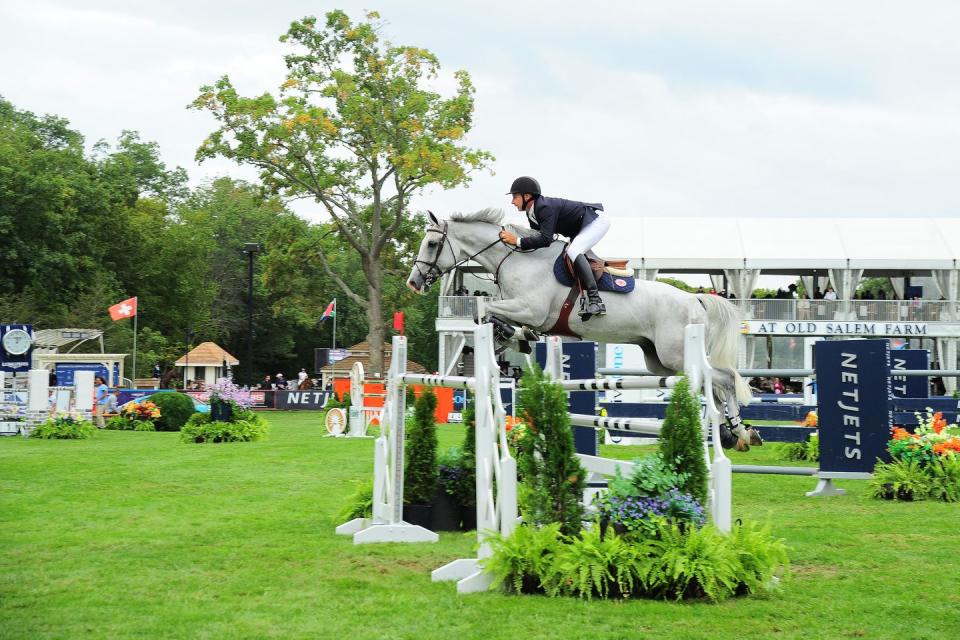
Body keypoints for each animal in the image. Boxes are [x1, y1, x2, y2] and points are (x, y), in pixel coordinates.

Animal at [408, 210, 760, 450]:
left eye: (433, 243)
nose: (413, 282)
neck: (516, 260)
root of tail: (695, 299)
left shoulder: (530, 309)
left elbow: (484, 310)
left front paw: (516, 336)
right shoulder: (523, 311)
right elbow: (492, 321)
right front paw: (513, 339)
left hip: (677, 356)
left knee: (725, 379)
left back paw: (738, 430)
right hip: (660, 362)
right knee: (711, 385)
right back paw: (733, 432)